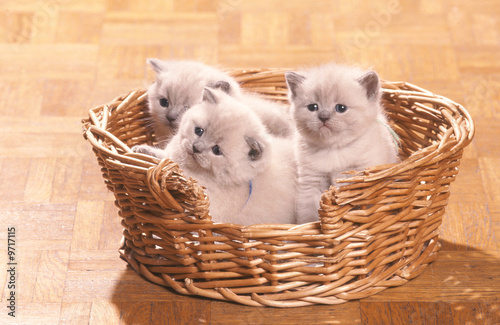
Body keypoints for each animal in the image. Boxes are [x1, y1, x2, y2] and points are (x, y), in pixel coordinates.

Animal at [286, 64, 398, 225]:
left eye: (341, 108)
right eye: (313, 107)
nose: (323, 117)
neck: (333, 150)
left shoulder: (358, 175)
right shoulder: (311, 180)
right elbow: (309, 212)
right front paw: (311, 225)